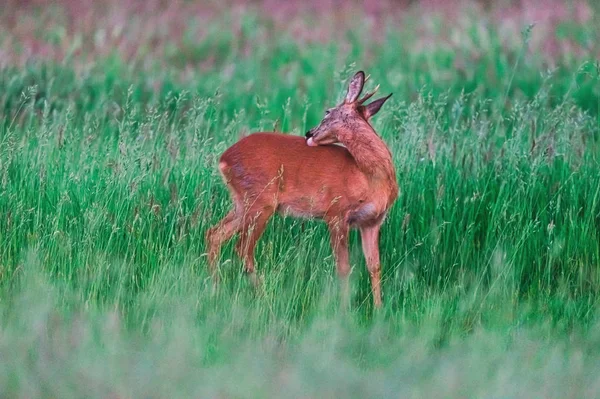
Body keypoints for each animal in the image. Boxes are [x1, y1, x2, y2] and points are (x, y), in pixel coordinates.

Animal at [206, 71, 398, 310]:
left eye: (327, 112)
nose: (309, 132)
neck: (369, 176)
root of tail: (223, 159)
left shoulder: (371, 221)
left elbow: (374, 266)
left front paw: (379, 309)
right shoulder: (336, 213)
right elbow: (343, 267)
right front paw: (345, 308)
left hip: (243, 203)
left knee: (215, 234)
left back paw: (215, 289)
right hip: (261, 201)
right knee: (242, 248)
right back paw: (264, 299)